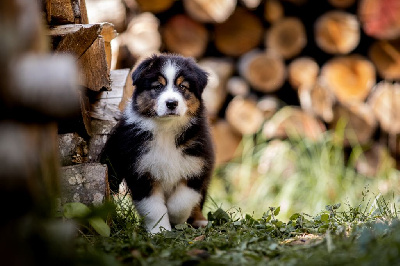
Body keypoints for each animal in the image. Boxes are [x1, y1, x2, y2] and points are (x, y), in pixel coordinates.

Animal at [103, 54, 216, 233]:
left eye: (183, 86)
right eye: (157, 86)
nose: (171, 103)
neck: (166, 129)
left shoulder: (197, 166)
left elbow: (182, 201)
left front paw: (176, 219)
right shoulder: (141, 173)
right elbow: (154, 208)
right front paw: (159, 231)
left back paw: (200, 221)